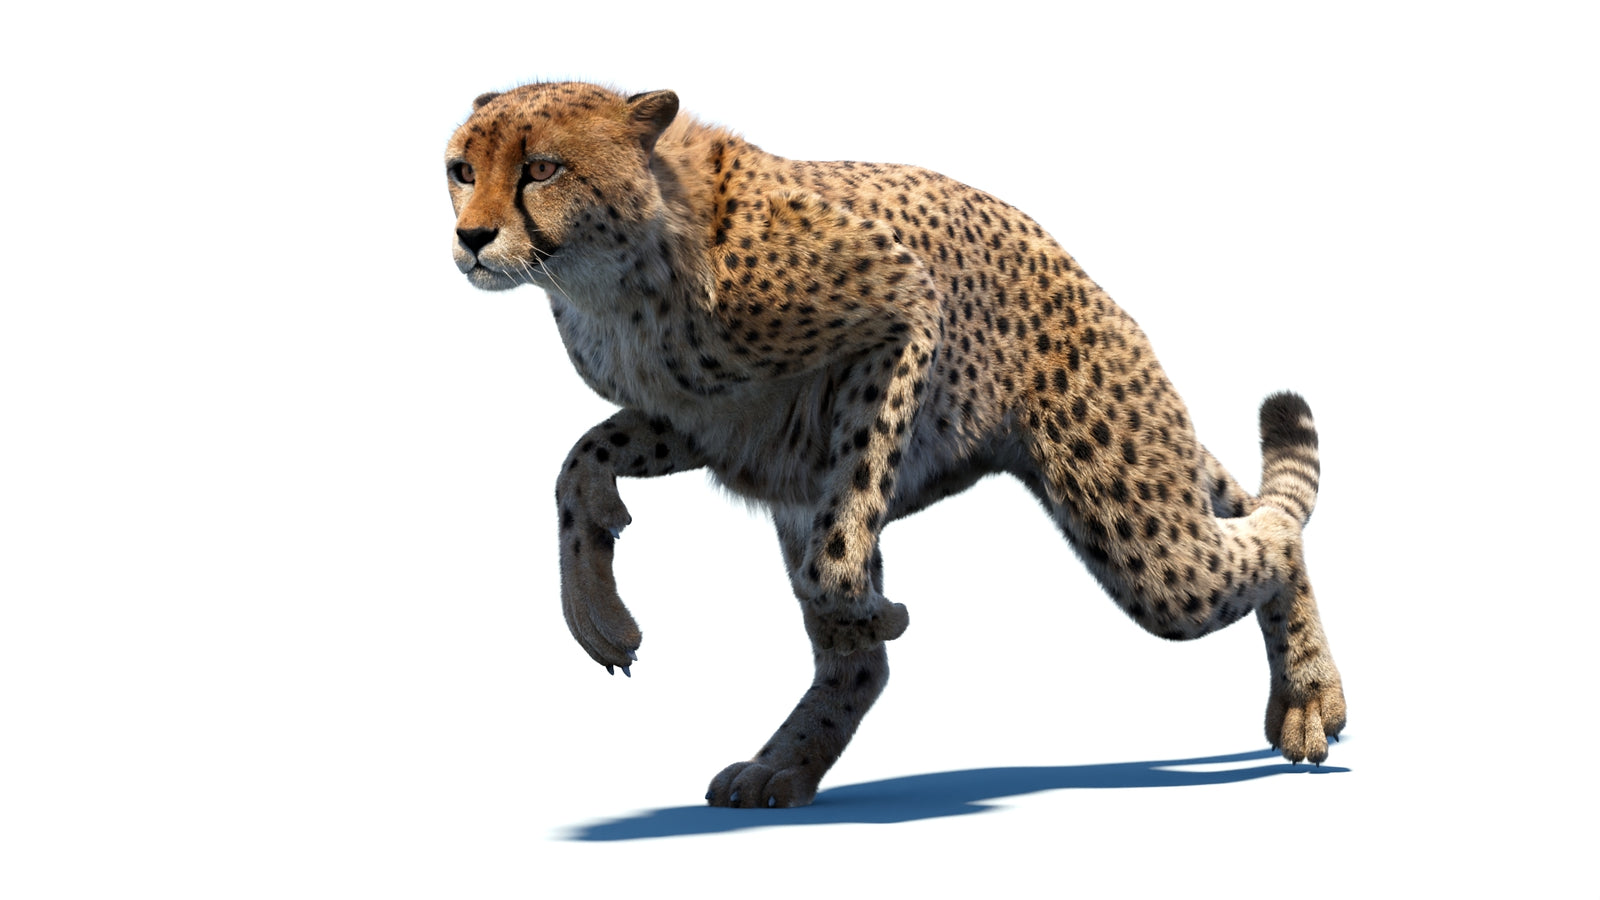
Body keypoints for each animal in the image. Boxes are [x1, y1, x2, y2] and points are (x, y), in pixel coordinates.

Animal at [444, 81, 1345, 809]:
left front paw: (879, 606)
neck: (618, 273)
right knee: (859, 668)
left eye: (542, 168)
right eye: (460, 168)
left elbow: (837, 554)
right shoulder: (707, 423)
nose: (472, 237)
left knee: (1270, 536)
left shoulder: (903, 310)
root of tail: (1092, 283)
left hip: (1140, 533)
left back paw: (1310, 700)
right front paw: (596, 609)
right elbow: (577, 462)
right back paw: (783, 766)